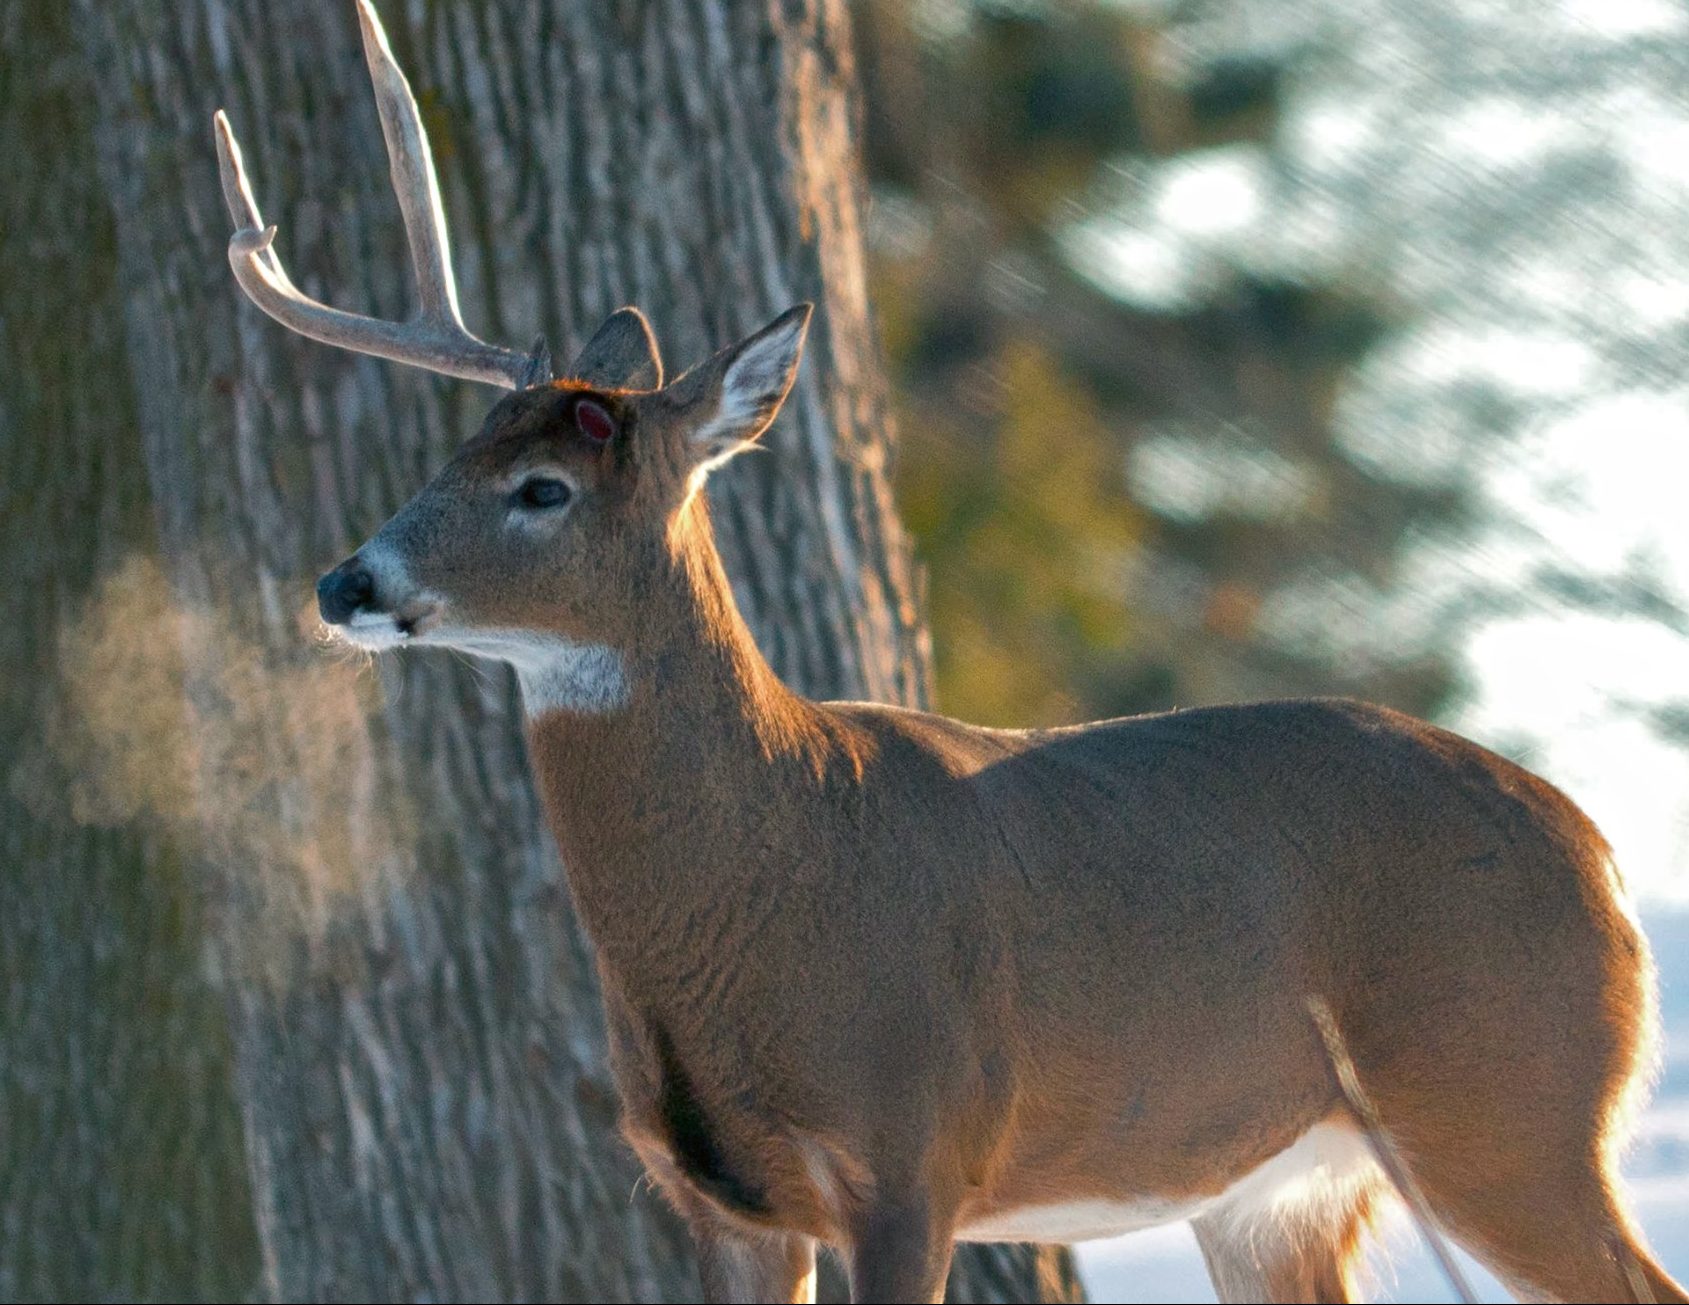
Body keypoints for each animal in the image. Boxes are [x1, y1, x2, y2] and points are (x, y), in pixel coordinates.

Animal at [217, 5, 1682, 1296]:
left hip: (1510, 1107)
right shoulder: (722, 1203)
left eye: (542, 490)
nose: (345, 580)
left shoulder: (914, 1148)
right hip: (1278, 1189)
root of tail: (1607, 861)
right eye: (454, 454)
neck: (766, 881)